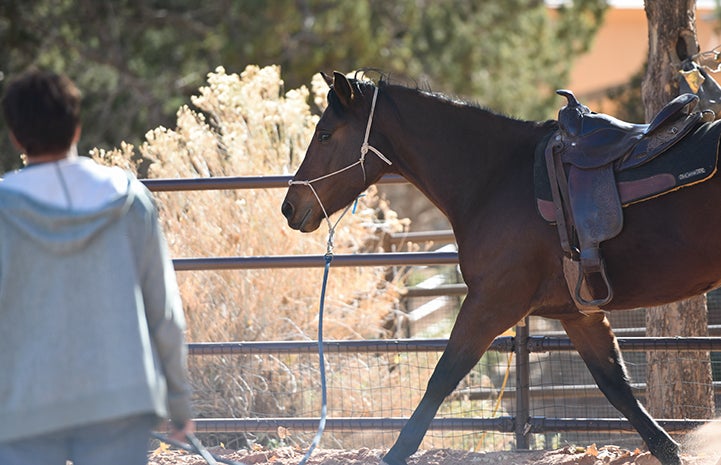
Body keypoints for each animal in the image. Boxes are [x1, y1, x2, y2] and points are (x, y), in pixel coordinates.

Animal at [282, 71, 720, 464]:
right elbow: (619, 390)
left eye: (324, 134)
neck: (497, 179)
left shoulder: (492, 304)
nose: (289, 206)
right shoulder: (579, 315)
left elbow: (442, 377)